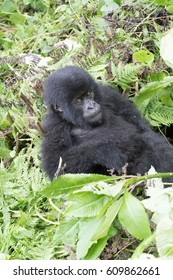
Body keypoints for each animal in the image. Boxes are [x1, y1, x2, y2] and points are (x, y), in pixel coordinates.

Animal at [41, 65, 173, 180]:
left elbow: (140, 127)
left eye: (89, 94)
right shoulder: (54, 127)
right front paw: (106, 152)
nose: (91, 105)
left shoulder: (107, 94)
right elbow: (56, 167)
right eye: (78, 100)